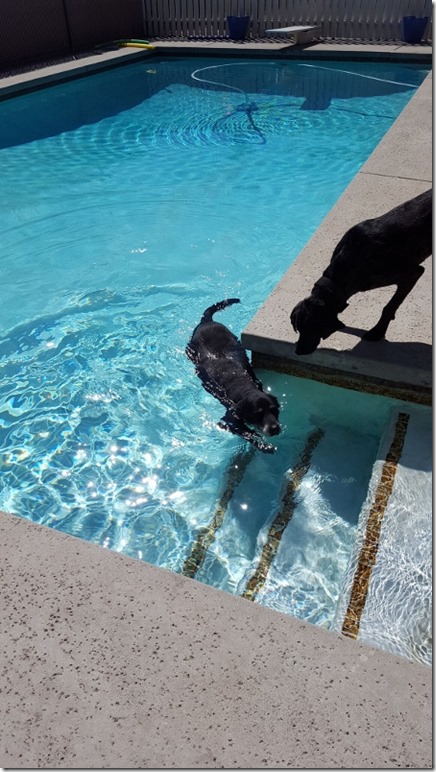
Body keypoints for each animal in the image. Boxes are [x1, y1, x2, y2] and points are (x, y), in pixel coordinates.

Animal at [186, 298, 282, 452]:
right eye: (258, 414)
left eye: (274, 410)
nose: (274, 428)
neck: (245, 388)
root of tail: (207, 321)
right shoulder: (228, 421)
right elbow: (248, 433)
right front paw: (264, 445)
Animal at [292, 187, 430, 356]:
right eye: (298, 328)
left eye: (313, 328)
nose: (298, 351)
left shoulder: (412, 273)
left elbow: (389, 307)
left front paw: (377, 332)